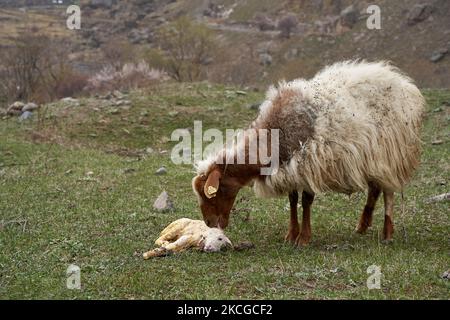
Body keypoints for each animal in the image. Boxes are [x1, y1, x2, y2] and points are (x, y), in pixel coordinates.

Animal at [192, 60, 424, 245]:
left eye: (215, 192)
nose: (209, 223)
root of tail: (403, 83)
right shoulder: (290, 170)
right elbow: (293, 201)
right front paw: (291, 235)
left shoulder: (309, 164)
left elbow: (305, 202)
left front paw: (303, 238)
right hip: (372, 158)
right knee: (375, 189)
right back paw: (362, 226)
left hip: (391, 152)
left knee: (388, 192)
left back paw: (387, 233)